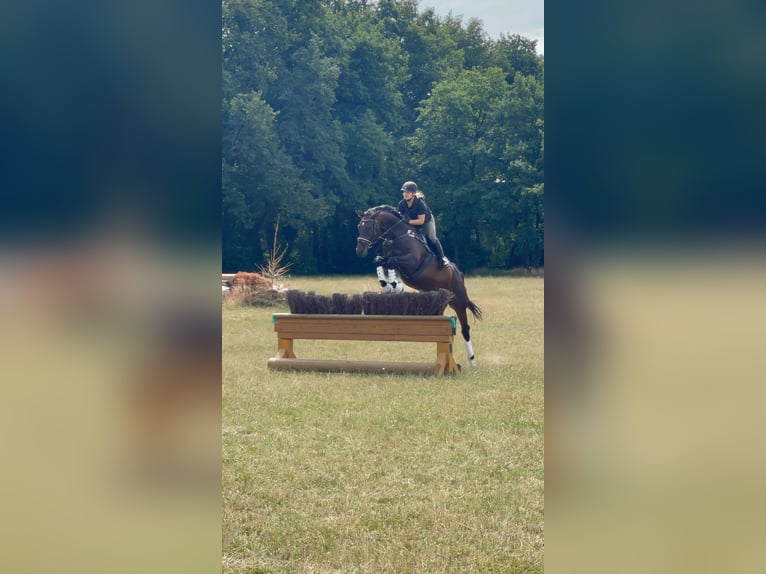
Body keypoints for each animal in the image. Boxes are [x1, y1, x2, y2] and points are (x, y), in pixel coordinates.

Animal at [355, 205, 483, 366]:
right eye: (359, 227)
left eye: (368, 227)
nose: (359, 251)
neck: (396, 236)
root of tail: (459, 274)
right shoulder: (388, 258)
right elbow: (381, 261)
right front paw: (388, 286)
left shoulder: (412, 262)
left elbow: (392, 261)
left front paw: (395, 286)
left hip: (458, 302)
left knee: (465, 329)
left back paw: (472, 361)